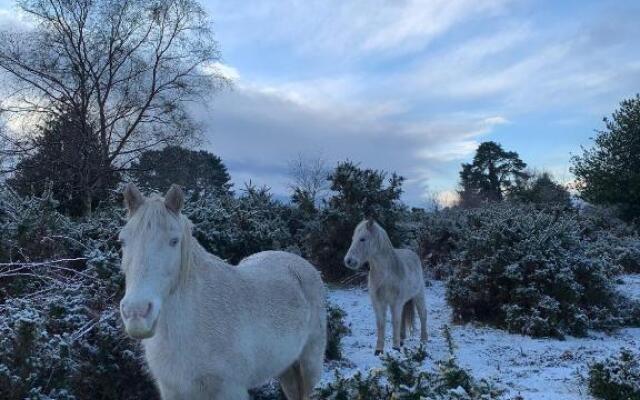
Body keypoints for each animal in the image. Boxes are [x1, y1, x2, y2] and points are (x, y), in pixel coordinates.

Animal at [119, 184, 324, 400]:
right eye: (122, 241)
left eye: (174, 241)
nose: (136, 313)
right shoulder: (172, 391)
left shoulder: (230, 390)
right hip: (286, 369)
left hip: (309, 366)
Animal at [342, 220, 428, 354]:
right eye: (353, 239)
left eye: (362, 239)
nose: (349, 261)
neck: (387, 274)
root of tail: (412, 253)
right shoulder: (378, 302)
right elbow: (381, 323)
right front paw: (379, 350)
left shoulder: (395, 302)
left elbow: (395, 321)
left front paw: (395, 348)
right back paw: (402, 339)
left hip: (419, 294)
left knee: (423, 314)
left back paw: (423, 340)